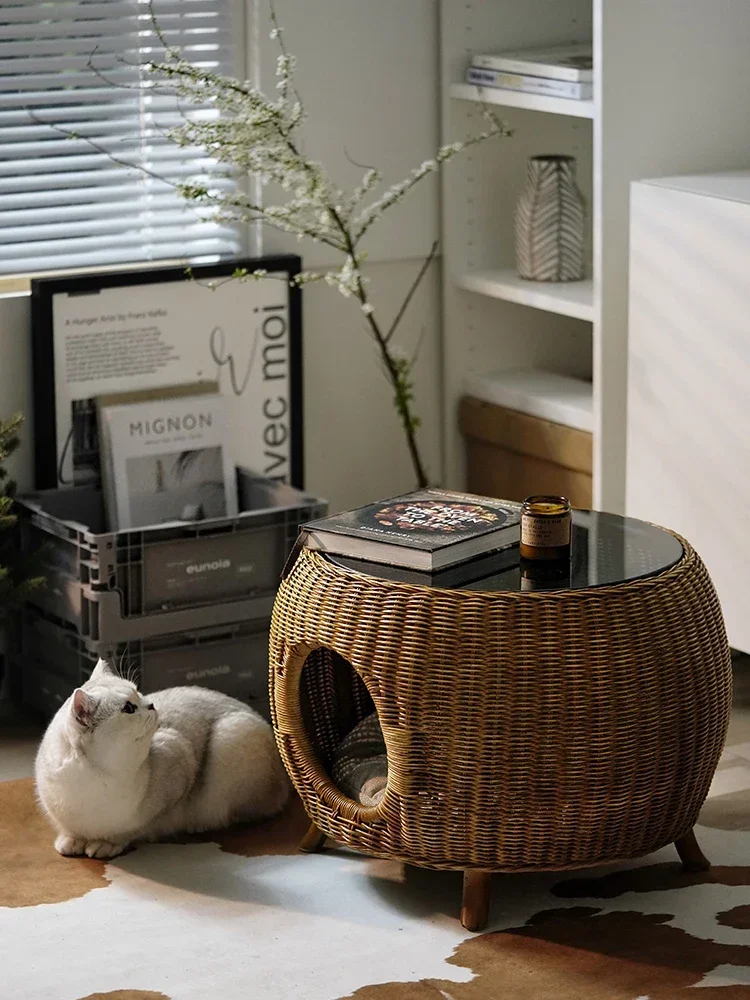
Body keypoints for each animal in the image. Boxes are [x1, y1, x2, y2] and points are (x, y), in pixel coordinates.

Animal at [34, 656, 290, 860]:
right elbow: (69, 829)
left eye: (138, 692)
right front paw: (71, 841)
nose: (151, 704)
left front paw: (105, 844)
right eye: (128, 708)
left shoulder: (176, 755)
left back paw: (199, 826)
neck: (89, 784)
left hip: (231, 738)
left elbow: (128, 831)